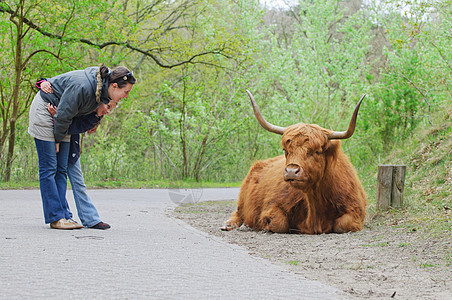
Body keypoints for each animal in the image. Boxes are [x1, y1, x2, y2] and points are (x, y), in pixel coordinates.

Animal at [222, 91, 368, 234]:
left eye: (316, 151)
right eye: (286, 150)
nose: (292, 171)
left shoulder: (355, 210)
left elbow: (342, 225)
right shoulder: (273, 205)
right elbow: (279, 223)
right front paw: (264, 225)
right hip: (243, 198)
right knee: (238, 213)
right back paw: (229, 225)